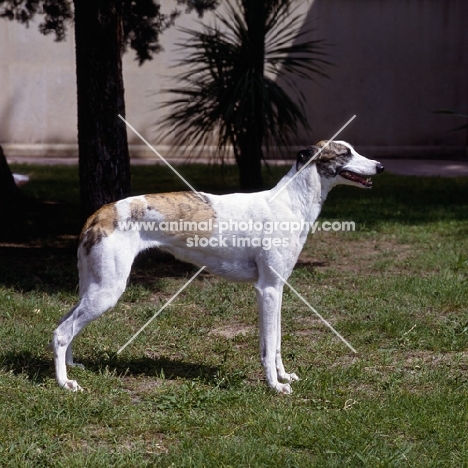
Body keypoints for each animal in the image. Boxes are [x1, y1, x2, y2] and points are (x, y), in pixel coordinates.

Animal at [50, 141, 384, 394]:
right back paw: (65, 382)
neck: (289, 203)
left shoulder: (277, 289)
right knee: (61, 332)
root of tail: (98, 213)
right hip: (107, 290)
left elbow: (275, 342)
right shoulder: (267, 289)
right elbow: (268, 345)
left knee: (65, 323)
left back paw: (72, 366)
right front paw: (275, 387)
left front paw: (284, 377)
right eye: (345, 152)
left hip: (94, 287)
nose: (380, 167)